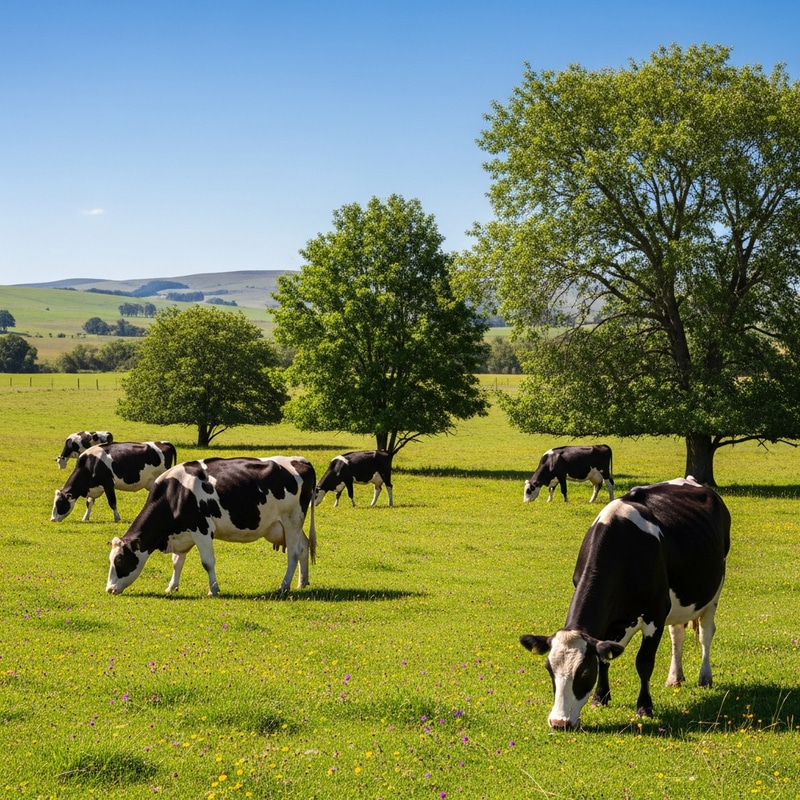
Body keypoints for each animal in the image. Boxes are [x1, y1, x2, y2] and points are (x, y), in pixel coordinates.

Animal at [106, 456, 317, 596]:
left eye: (120, 560)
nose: (109, 589)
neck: (175, 493)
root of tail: (301, 460)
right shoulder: (182, 534)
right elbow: (177, 562)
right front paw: (172, 587)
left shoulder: (202, 530)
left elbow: (207, 562)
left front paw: (213, 590)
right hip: (288, 525)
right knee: (304, 546)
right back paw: (302, 582)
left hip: (292, 520)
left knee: (294, 553)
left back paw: (284, 585)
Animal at [520, 477, 731, 729]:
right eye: (549, 669)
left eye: (584, 672)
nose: (559, 722)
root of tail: (689, 480)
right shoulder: (612, 623)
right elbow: (605, 658)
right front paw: (600, 698)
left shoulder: (655, 614)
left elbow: (644, 662)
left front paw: (644, 708)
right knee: (677, 635)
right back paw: (675, 678)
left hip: (715, 590)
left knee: (706, 634)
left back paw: (705, 677)